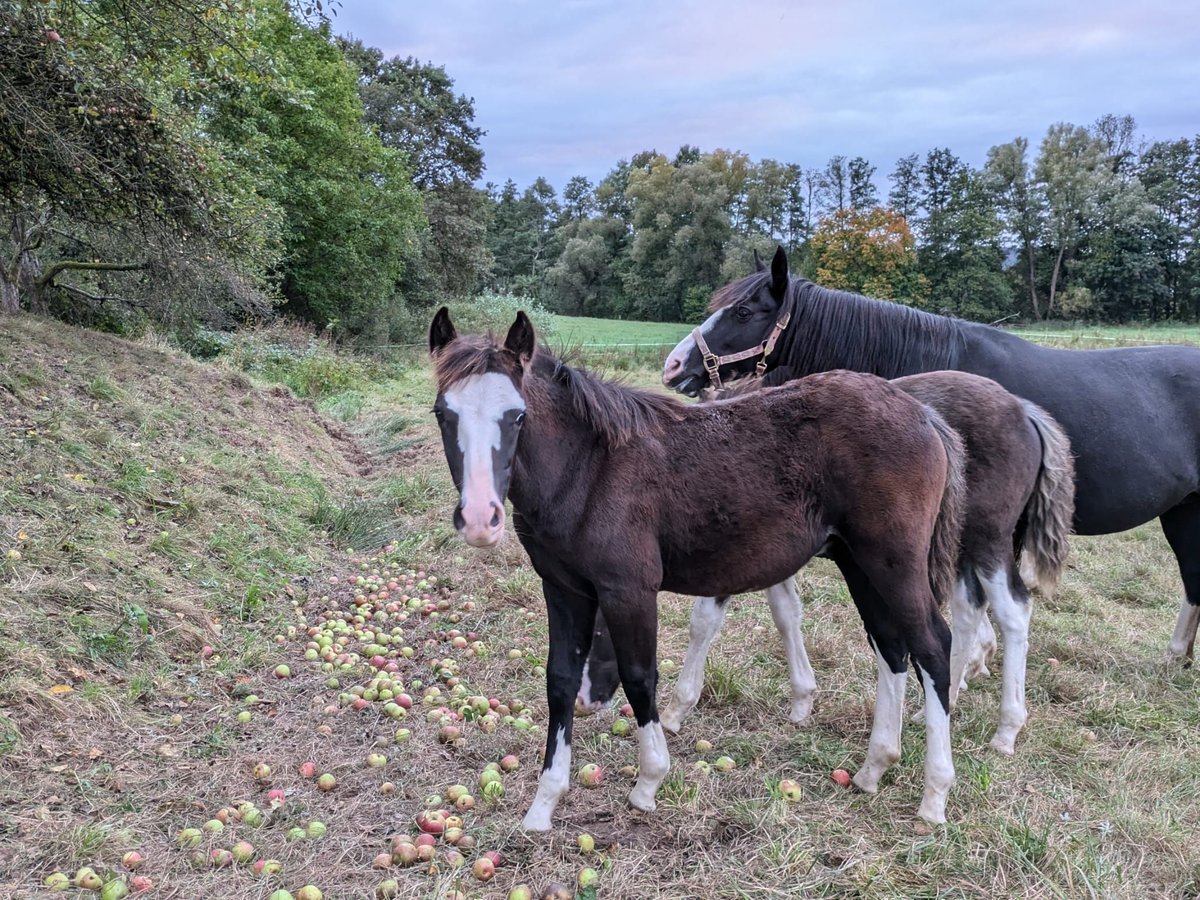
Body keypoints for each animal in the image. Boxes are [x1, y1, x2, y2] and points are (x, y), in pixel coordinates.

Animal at [429, 307, 964, 830]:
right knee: (891, 646)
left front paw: (649, 782)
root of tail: (924, 415)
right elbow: (559, 679)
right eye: (442, 414)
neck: (588, 469)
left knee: (933, 646)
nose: (479, 519)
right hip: (861, 564)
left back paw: (934, 796)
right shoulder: (564, 589)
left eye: (517, 415)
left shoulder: (628, 589)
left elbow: (639, 675)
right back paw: (875, 767)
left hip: (894, 562)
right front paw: (543, 805)